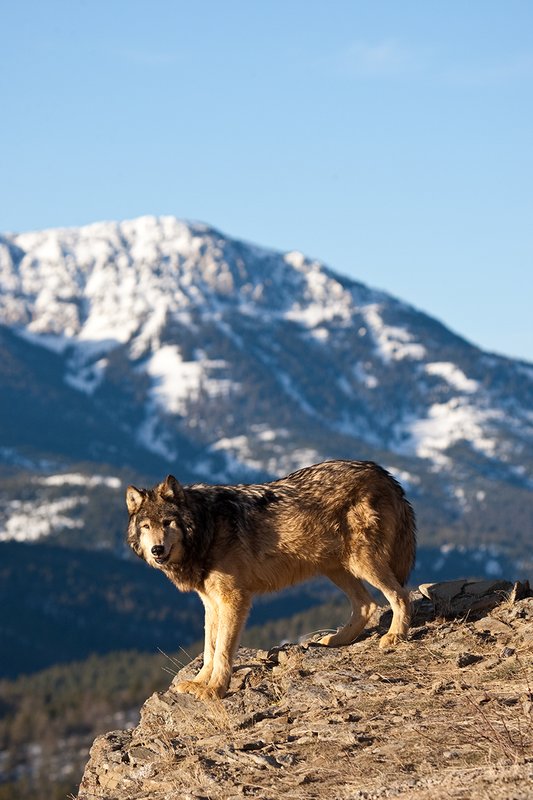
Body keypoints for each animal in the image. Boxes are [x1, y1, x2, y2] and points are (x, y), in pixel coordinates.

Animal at [126, 459, 416, 700]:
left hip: (362, 562)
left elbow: (222, 651)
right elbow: (210, 648)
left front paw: (215, 689)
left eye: (167, 522)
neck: (208, 527)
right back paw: (337, 640)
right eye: (146, 527)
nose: (157, 550)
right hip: (335, 567)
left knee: (399, 594)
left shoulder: (233, 599)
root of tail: (383, 472)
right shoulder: (210, 602)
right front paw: (199, 683)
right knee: (366, 604)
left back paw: (394, 636)